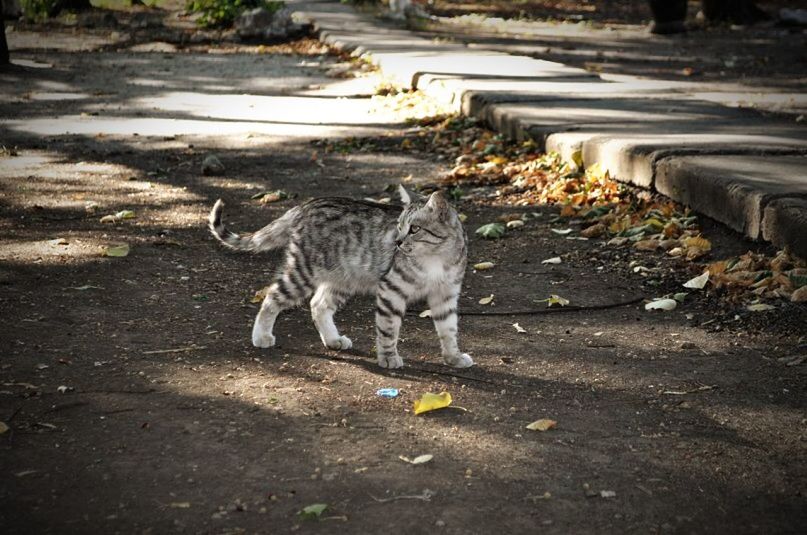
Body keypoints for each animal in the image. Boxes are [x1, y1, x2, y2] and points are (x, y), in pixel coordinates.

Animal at [210, 186, 474, 370]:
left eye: (414, 229)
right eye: (399, 226)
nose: (397, 242)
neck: (437, 260)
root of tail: (306, 205)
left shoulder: (446, 295)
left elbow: (449, 329)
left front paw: (453, 357)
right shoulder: (391, 290)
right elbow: (388, 329)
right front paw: (388, 357)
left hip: (343, 278)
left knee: (318, 305)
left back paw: (333, 339)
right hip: (303, 272)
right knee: (272, 296)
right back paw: (261, 335)